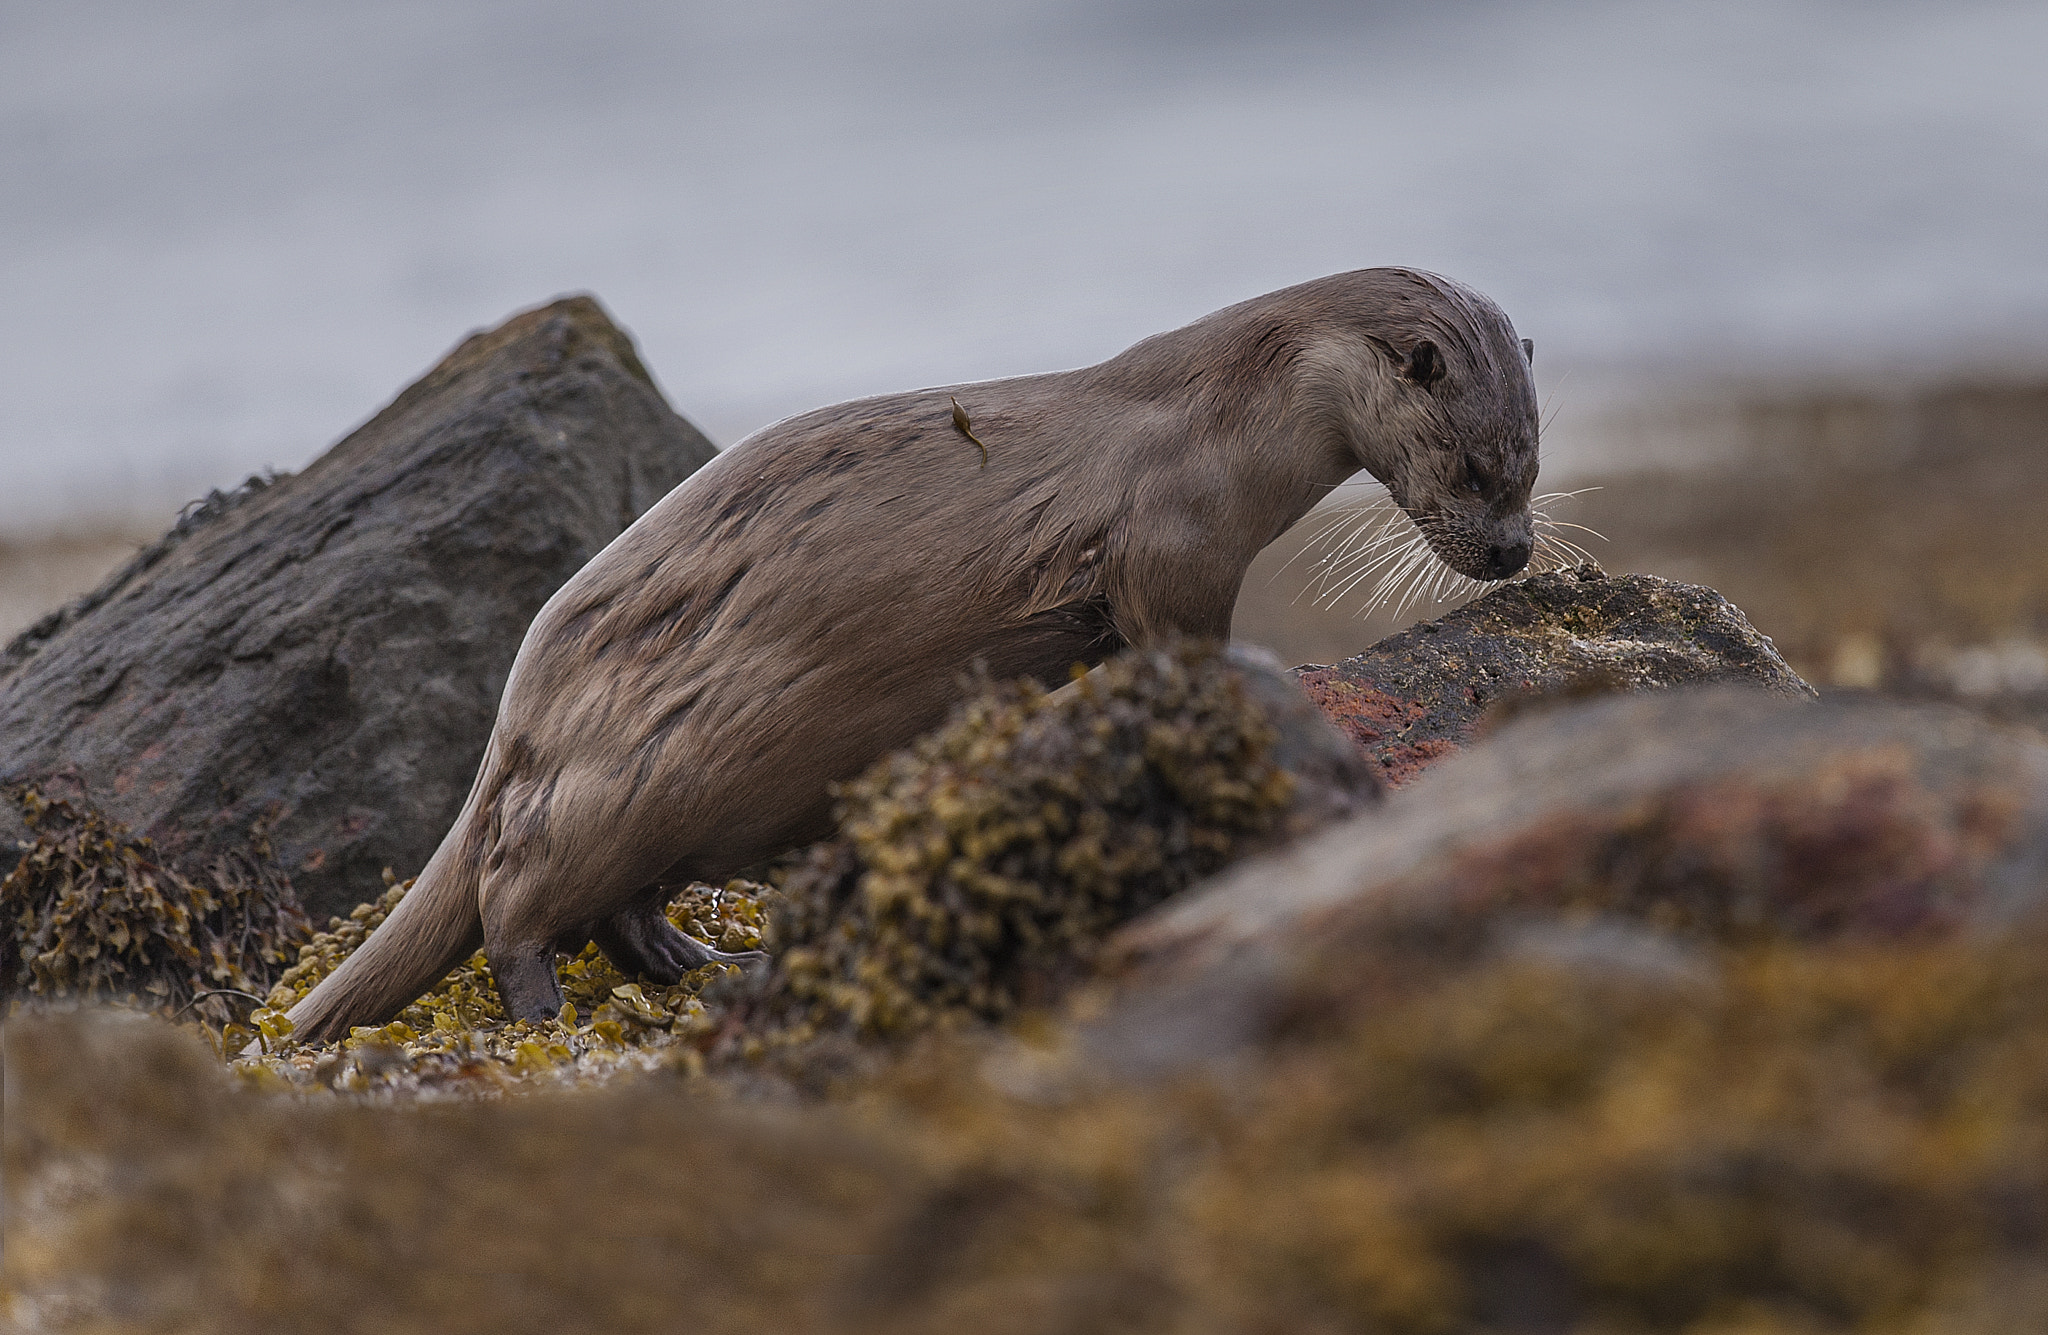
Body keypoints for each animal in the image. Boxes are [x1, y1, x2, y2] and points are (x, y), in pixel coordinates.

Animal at [284, 268, 1540, 1044]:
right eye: (1477, 467)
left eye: (1529, 462)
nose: (1514, 550)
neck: (1222, 425)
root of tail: (516, 716)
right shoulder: (1169, 542)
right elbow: (1176, 631)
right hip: (614, 788)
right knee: (514, 901)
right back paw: (548, 1009)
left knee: (616, 912)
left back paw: (707, 967)